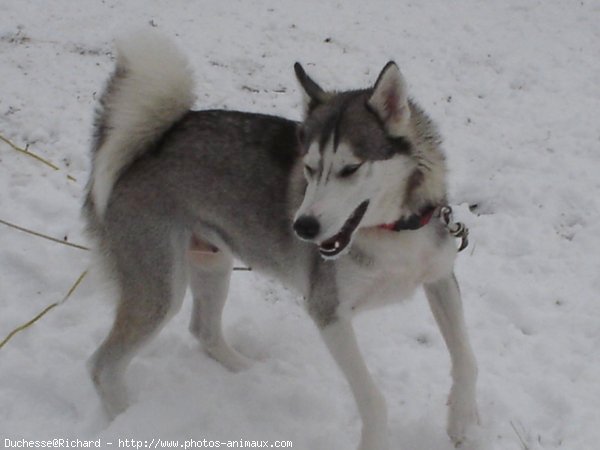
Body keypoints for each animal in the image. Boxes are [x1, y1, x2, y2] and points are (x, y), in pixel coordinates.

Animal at [83, 32, 478, 450]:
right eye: (309, 167)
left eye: (350, 168)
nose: (302, 227)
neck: (393, 229)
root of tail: (137, 149)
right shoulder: (328, 312)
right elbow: (373, 399)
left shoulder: (440, 278)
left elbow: (467, 360)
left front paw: (463, 420)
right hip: (161, 288)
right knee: (102, 366)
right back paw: (127, 423)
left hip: (213, 262)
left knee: (204, 331)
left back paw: (244, 369)